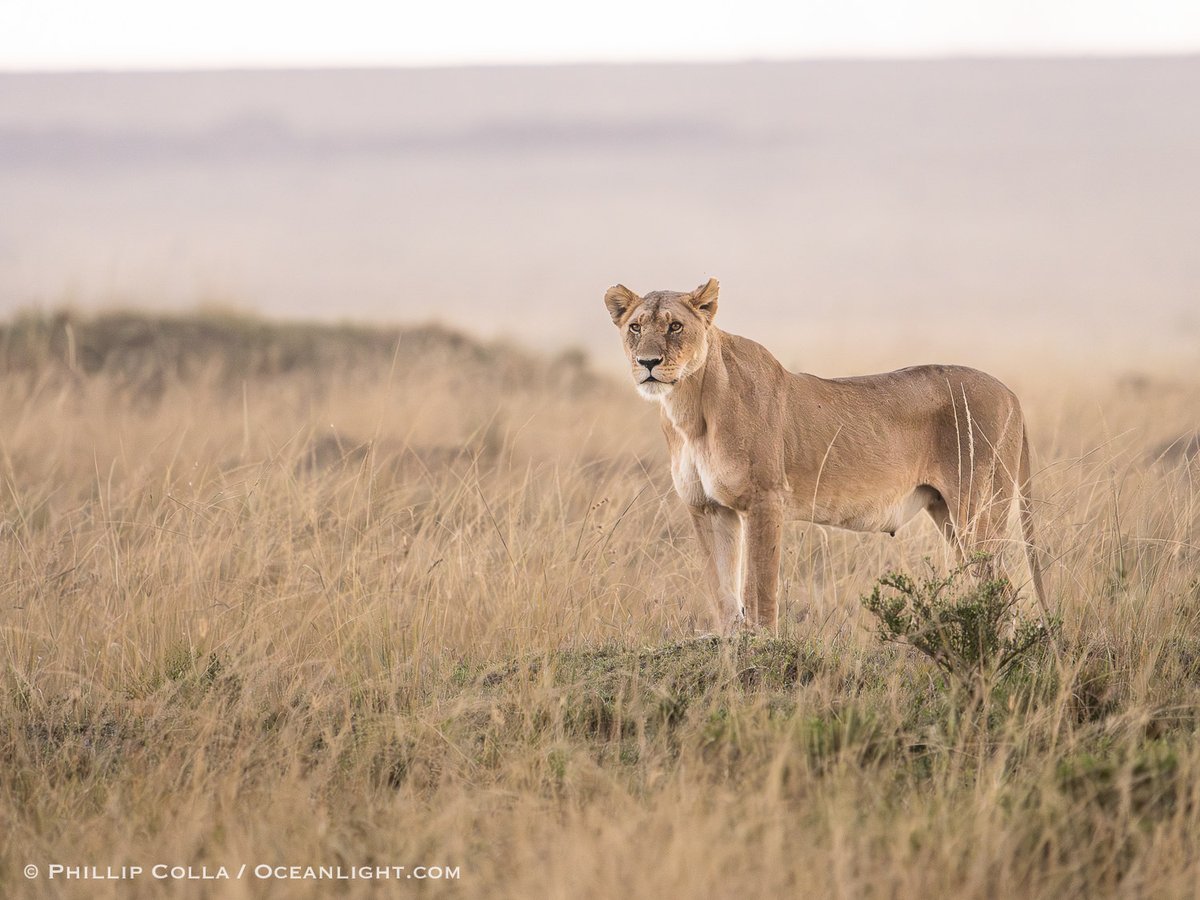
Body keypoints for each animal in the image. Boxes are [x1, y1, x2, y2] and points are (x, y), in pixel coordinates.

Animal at [604, 277, 1046, 631]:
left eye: (675, 326)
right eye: (635, 327)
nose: (647, 362)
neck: (689, 409)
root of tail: (1011, 393)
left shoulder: (765, 499)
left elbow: (759, 587)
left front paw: (761, 644)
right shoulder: (708, 507)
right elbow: (723, 589)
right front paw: (730, 643)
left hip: (978, 509)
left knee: (1001, 590)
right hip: (949, 514)